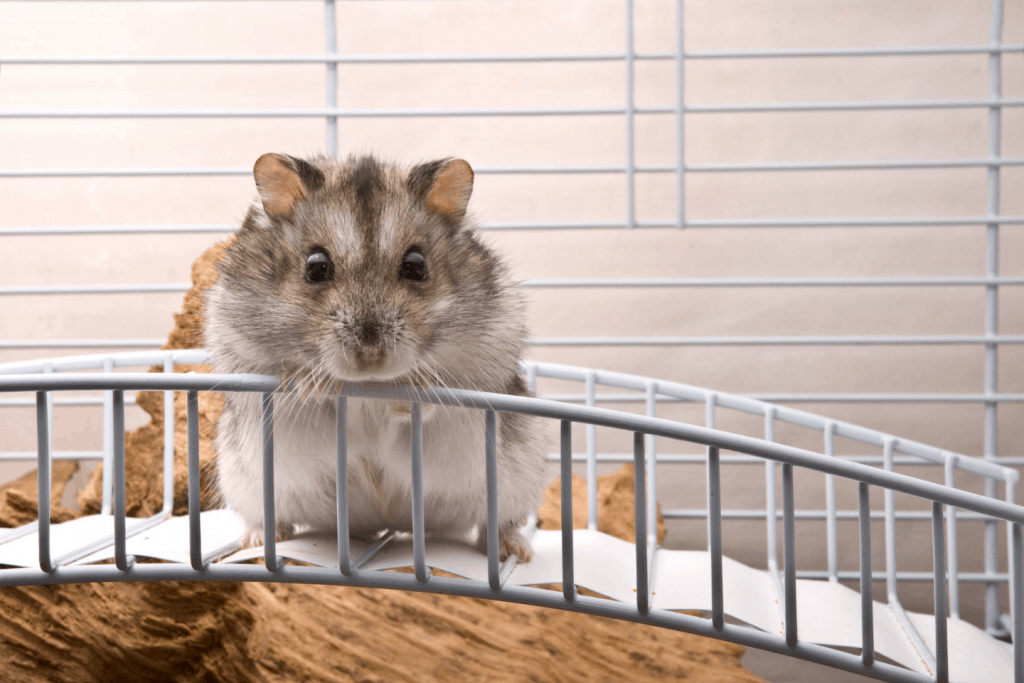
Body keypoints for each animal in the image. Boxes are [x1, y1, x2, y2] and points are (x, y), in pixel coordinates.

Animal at [201, 153, 552, 561]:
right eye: (315, 266)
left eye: (416, 265)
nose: (369, 356)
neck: (368, 386)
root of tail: (385, 522)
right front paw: (310, 384)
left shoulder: (483, 363)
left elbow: (434, 398)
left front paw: (410, 389)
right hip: (245, 482)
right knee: (268, 518)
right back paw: (256, 541)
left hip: (517, 482)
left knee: (496, 524)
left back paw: (515, 551)